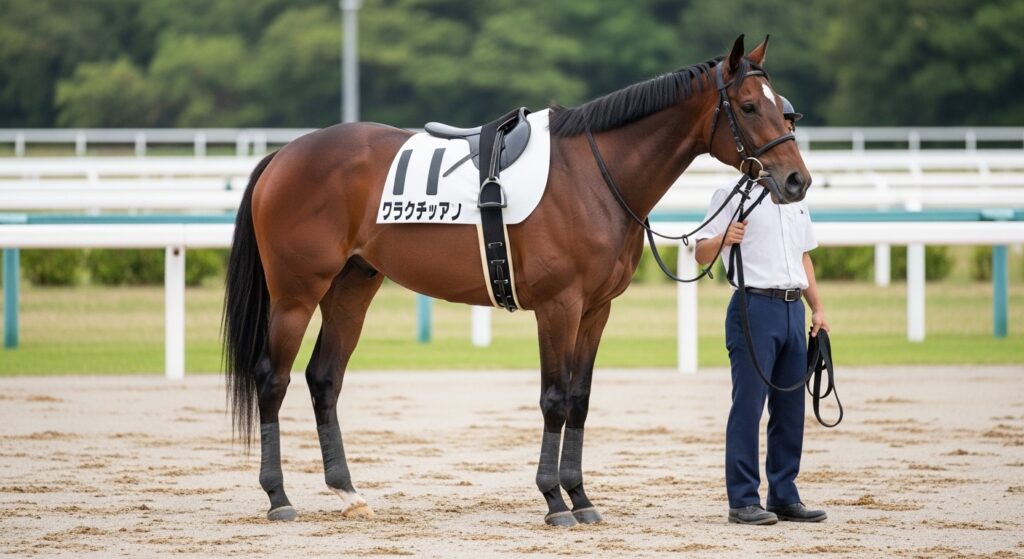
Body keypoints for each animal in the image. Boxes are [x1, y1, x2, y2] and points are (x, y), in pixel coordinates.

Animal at [223, 34, 811, 526]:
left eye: (783, 106)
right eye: (749, 106)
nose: (796, 180)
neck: (595, 175)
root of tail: (284, 155)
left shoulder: (595, 310)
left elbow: (580, 399)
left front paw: (581, 498)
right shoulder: (558, 306)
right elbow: (554, 398)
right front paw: (554, 501)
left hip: (352, 288)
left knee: (324, 379)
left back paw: (348, 493)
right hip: (296, 294)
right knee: (273, 380)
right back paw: (278, 498)